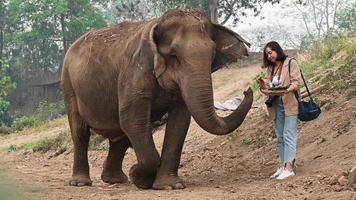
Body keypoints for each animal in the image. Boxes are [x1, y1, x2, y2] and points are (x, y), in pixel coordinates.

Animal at [62, 9, 253, 191]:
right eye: (174, 55)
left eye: (213, 54)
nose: (248, 91)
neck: (158, 22)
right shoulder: (135, 69)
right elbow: (132, 118)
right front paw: (138, 176)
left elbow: (179, 122)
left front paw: (168, 185)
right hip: (68, 83)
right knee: (81, 132)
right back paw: (81, 183)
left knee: (120, 135)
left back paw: (115, 179)